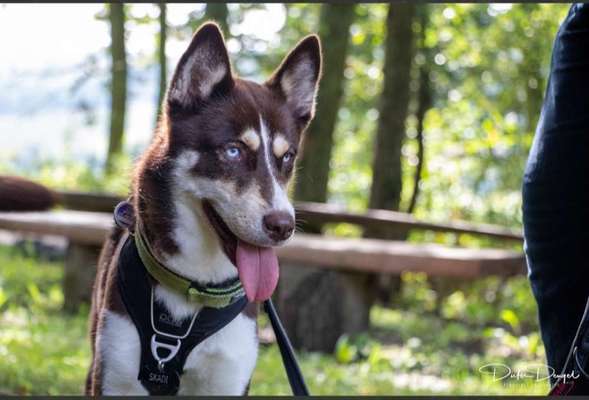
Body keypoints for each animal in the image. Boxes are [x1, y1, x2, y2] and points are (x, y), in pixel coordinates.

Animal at [86, 23, 322, 396]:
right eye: (233, 151)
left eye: (286, 157)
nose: (283, 226)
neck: (195, 284)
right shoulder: (115, 375)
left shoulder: (228, 377)